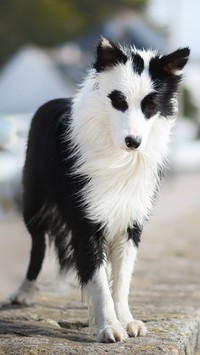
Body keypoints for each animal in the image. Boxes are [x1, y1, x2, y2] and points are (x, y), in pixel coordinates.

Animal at [10, 38, 189, 342]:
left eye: (150, 105)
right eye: (119, 101)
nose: (133, 141)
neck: (118, 155)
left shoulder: (131, 221)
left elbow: (121, 280)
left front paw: (126, 320)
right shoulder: (85, 220)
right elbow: (98, 280)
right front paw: (109, 327)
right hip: (33, 202)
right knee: (37, 246)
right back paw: (23, 292)